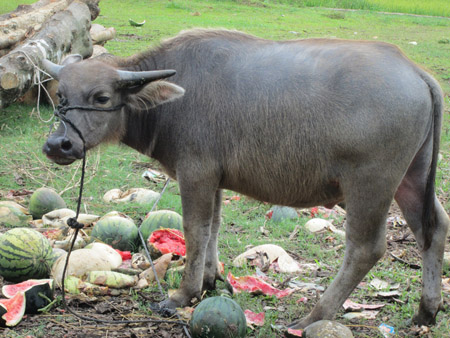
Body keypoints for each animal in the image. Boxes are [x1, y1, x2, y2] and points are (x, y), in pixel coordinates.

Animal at [41, 29, 446, 330]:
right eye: (61, 96)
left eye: (101, 96)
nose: (58, 144)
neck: (171, 101)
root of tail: (416, 72)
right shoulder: (215, 179)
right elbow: (214, 228)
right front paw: (209, 282)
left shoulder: (196, 172)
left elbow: (195, 229)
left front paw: (182, 294)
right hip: (412, 178)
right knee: (433, 229)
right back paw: (426, 310)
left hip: (370, 184)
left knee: (366, 248)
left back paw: (314, 316)